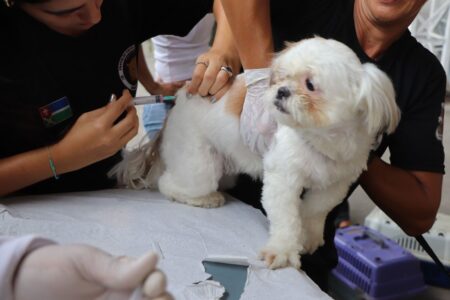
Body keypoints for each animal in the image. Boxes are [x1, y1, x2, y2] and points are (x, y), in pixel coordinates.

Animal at [112, 37, 400, 270]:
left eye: (310, 84)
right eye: (282, 77)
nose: (281, 91)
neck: (320, 138)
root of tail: (178, 101)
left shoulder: (337, 182)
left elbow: (317, 209)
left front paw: (309, 235)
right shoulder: (283, 178)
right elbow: (285, 217)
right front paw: (283, 251)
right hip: (199, 167)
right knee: (169, 185)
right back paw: (206, 198)